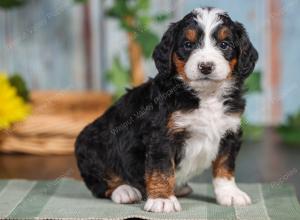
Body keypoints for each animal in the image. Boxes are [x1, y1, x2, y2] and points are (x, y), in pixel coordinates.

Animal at [75, 7, 258, 213]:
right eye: (188, 44)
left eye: (224, 44)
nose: (205, 67)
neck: (205, 96)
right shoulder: (162, 135)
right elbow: (162, 169)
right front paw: (162, 199)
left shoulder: (230, 131)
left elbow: (225, 165)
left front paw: (230, 193)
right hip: (92, 144)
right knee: (101, 182)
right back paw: (125, 190)